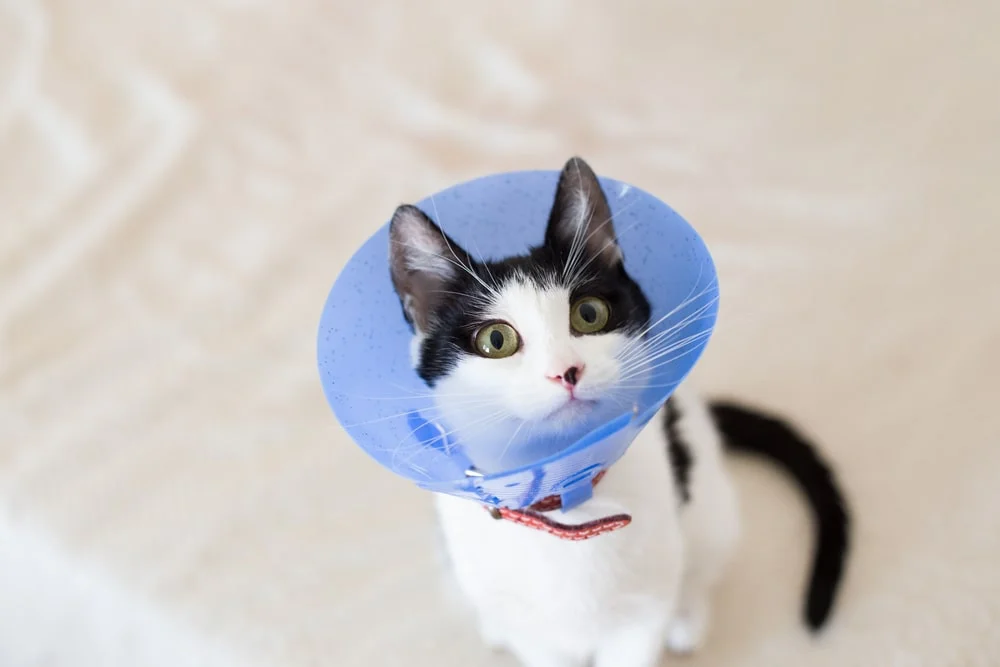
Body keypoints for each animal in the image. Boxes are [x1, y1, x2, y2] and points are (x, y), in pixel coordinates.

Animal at [386, 157, 848, 667]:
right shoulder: (535, 634)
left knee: (701, 563)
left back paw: (687, 616)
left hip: (709, 507)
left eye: (589, 314)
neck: (569, 506)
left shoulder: (640, 616)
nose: (566, 371)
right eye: (496, 340)